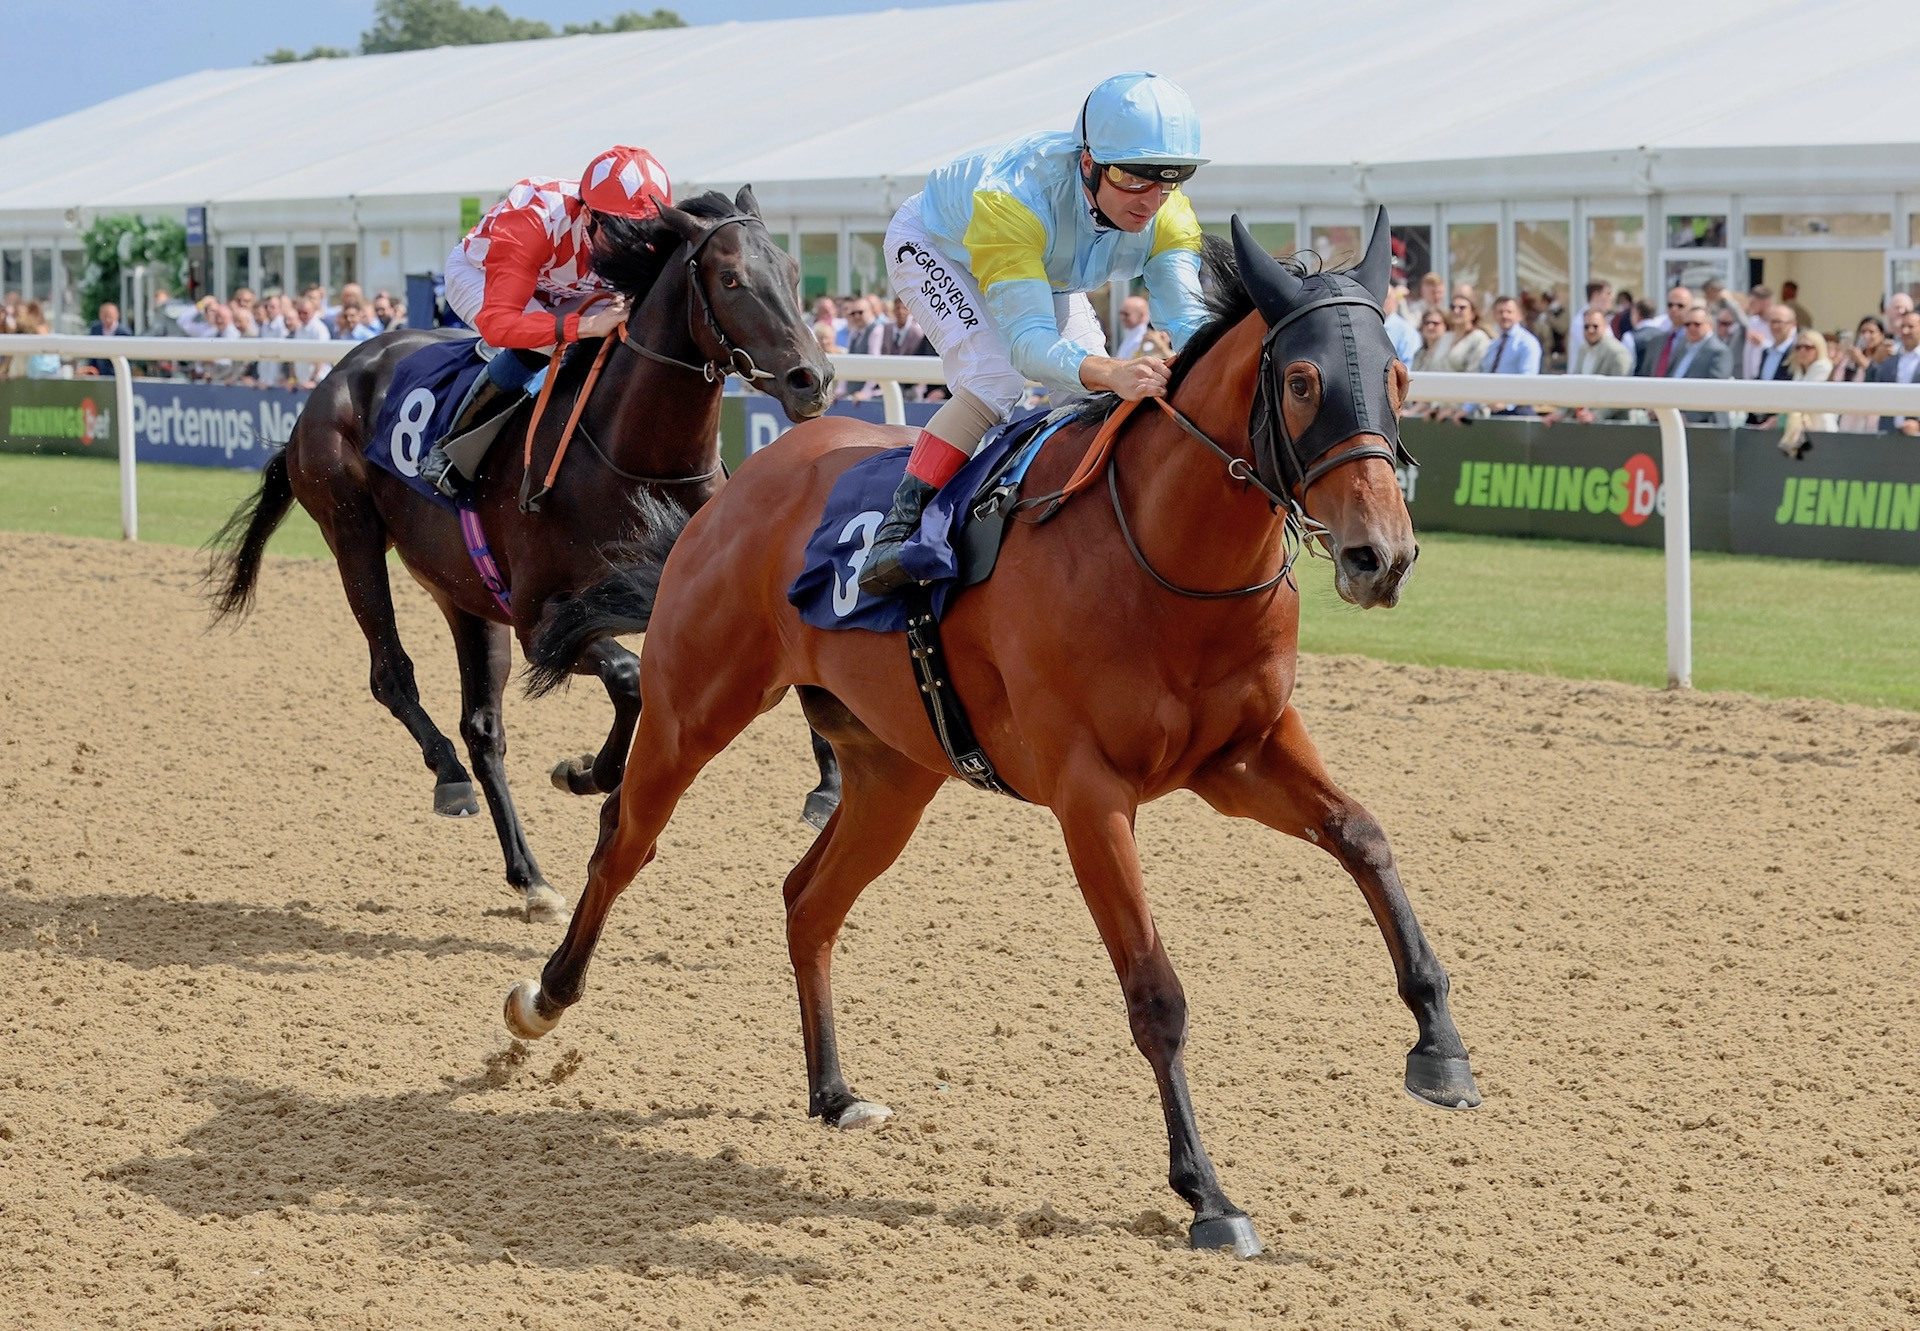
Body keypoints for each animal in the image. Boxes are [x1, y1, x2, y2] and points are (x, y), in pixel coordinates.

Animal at [206, 189, 837, 925]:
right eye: (731, 279)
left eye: (792, 273)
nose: (813, 379)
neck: (634, 460)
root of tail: (332, 379)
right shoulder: (544, 622)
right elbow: (630, 680)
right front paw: (585, 773)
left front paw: (827, 786)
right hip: (353, 533)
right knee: (392, 676)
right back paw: (451, 779)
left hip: (466, 594)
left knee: (483, 727)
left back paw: (529, 874)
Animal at [503, 210, 1474, 1259]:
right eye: (1300, 382)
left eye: (1400, 375)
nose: (1382, 556)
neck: (1165, 554)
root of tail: (737, 485)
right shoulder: (1091, 795)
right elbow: (1155, 991)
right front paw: (1207, 1194)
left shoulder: (1241, 754)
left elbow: (1364, 835)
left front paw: (1441, 1049)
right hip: (693, 707)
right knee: (624, 841)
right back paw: (543, 996)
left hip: (892, 771)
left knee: (808, 899)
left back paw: (833, 1091)